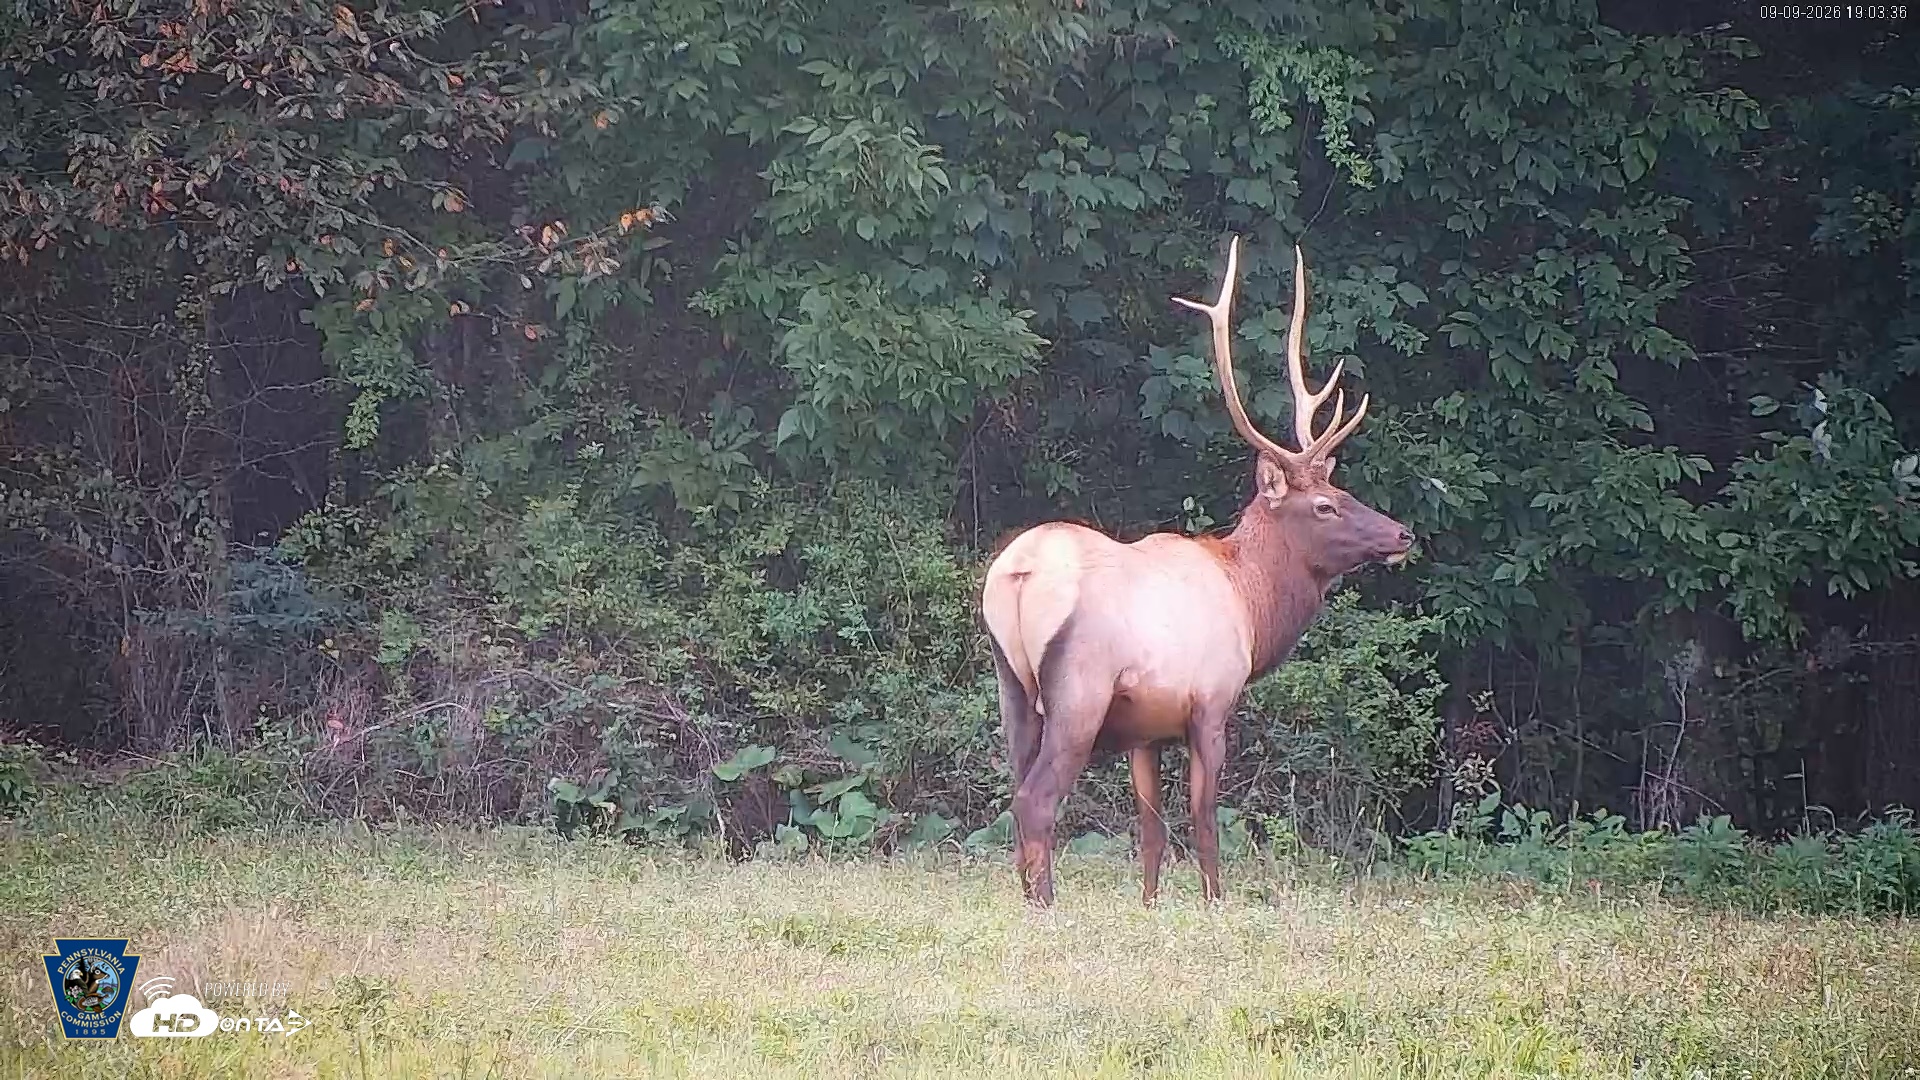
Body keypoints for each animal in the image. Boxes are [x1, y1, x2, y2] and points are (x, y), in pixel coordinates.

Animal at [980, 236, 1415, 908]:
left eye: (1344, 491)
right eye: (1325, 504)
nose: (1402, 534)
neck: (1251, 603)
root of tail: (1018, 573)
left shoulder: (1145, 730)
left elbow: (1152, 831)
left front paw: (1150, 905)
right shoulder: (1210, 702)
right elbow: (1205, 818)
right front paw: (1215, 901)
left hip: (1011, 685)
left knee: (1013, 790)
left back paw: (1026, 896)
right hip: (1078, 689)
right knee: (1035, 799)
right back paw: (1046, 905)